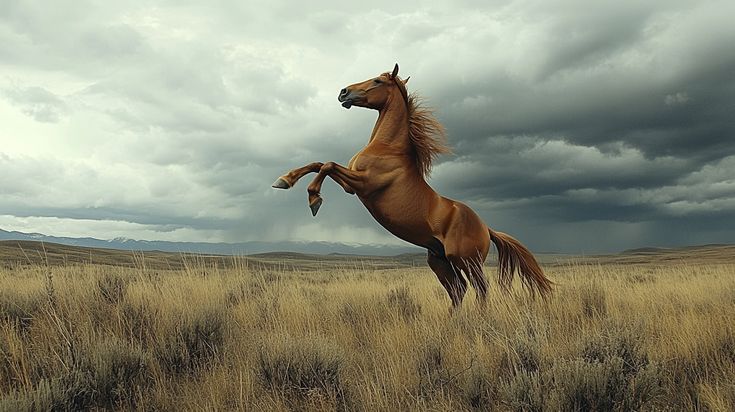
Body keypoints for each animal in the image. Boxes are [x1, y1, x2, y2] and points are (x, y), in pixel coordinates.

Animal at [272, 64, 552, 308]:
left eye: (378, 81)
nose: (343, 92)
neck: (389, 148)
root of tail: (486, 228)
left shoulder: (364, 183)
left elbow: (327, 165)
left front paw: (314, 200)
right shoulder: (351, 185)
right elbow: (318, 163)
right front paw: (284, 180)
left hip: (466, 260)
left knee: (480, 289)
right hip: (439, 262)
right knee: (459, 290)